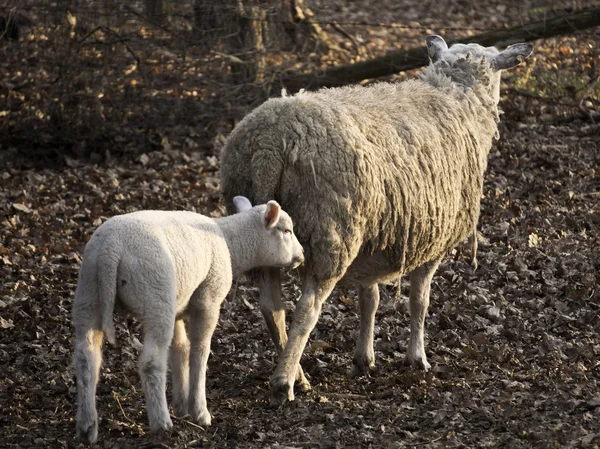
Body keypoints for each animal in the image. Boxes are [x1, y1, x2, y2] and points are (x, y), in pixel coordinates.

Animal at [220, 33, 536, 400]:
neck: (456, 98)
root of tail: (270, 145)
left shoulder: (374, 238)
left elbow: (369, 299)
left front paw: (364, 357)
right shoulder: (433, 239)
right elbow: (419, 301)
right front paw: (417, 357)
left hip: (269, 233)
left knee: (271, 306)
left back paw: (297, 373)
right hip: (332, 232)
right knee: (307, 308)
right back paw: (285, 380)